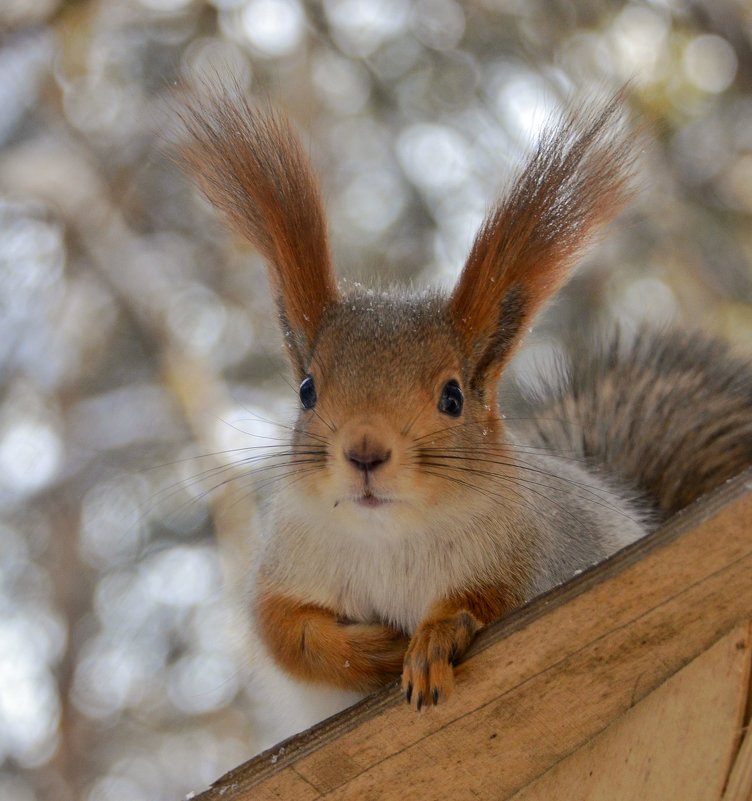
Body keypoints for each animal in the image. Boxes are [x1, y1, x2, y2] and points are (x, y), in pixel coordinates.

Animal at [179, 90, 752, 748]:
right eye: (306, 391)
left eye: (453, 397)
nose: (365, 452)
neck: (389, 537)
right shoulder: (285, 564)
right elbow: (285, 631)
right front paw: (374, 650)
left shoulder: (536, 554)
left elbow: (488, 602)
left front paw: (433, 638)